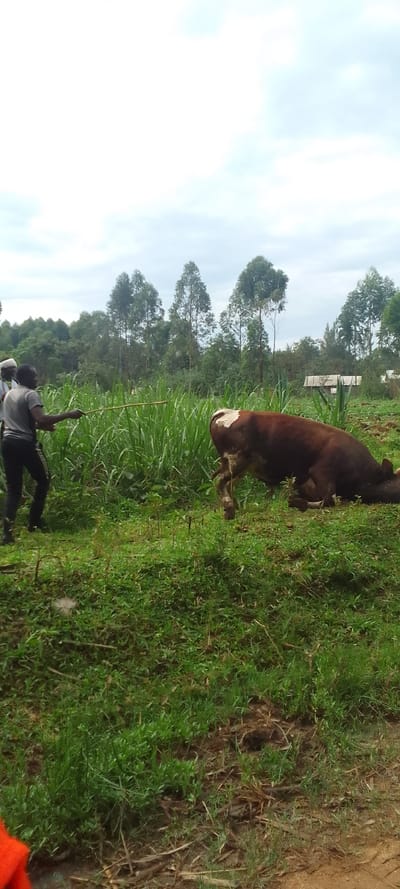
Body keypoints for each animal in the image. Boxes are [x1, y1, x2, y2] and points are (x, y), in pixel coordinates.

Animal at [210, 408, 400, 519]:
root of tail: (226, 411)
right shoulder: (321, 471)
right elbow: (329, 499)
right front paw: (295, 502)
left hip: (237, 464)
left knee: (228, 483)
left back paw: (233, 507)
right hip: (236, 459)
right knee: (220, 481)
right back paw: (229, 509)